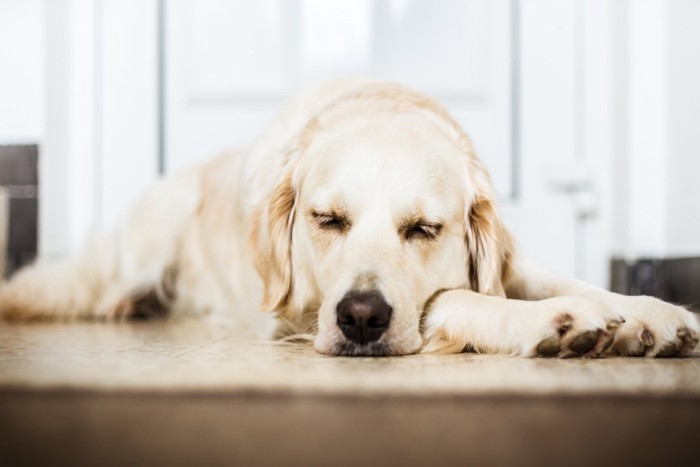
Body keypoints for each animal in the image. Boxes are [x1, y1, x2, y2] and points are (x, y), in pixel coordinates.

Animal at [0, 80, 696, 358]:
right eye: (328, 219)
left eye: (423, 229)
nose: (361, 318)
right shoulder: (296, 313)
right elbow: (451, 300)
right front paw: (560, 323)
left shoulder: (512, 261)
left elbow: (573, 282)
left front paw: (651, 315)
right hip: (153, 227)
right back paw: (131, 303)